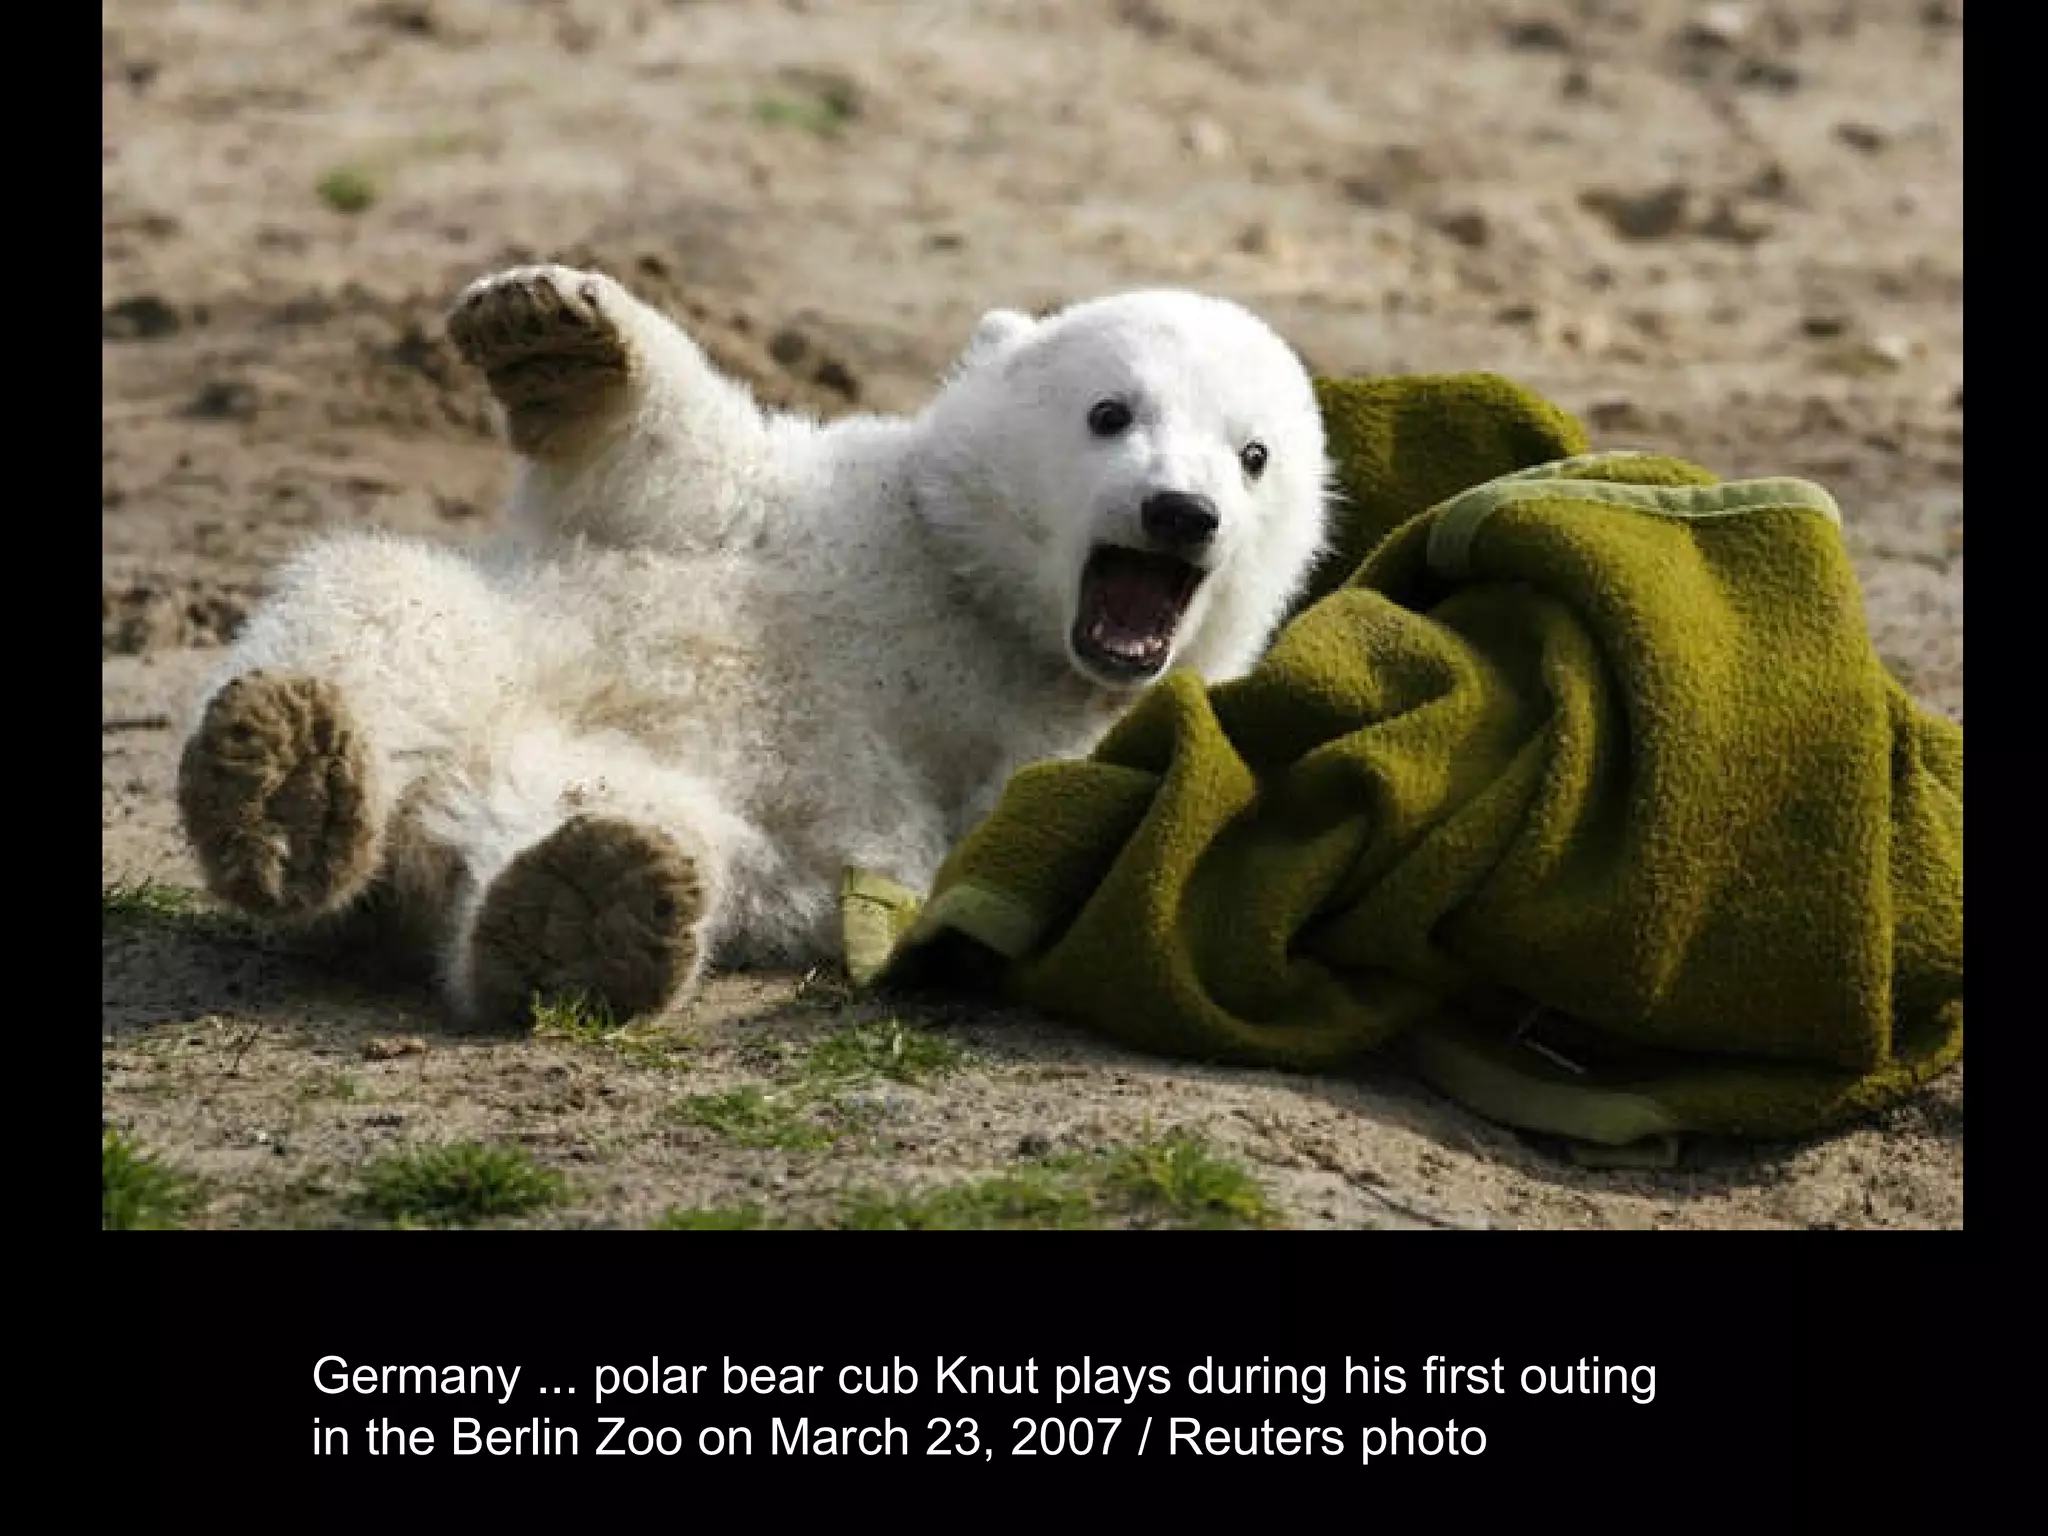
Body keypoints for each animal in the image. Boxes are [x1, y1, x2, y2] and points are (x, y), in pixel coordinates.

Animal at [174, 264, 1333, 1028]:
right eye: (1108, 411)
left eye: (1254, 456)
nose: (1181, 513)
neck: (993, 619)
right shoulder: (848, 508)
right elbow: (693, 468)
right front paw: (549, 328)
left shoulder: (1071, 730)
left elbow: (1031, 827)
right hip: (496, 633)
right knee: (383, 609)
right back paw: (284, 773)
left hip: (642, 794)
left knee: (597, 818)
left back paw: (580, 907)